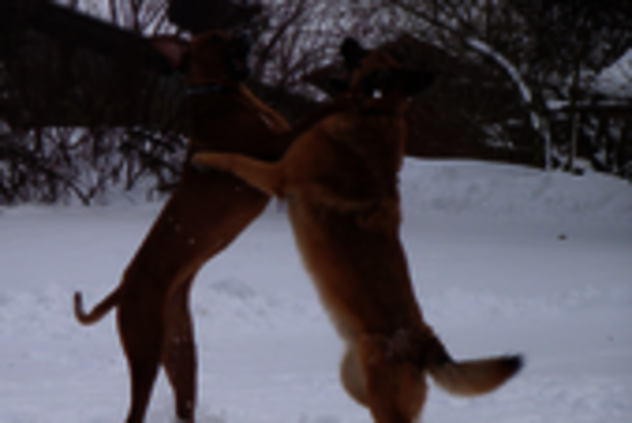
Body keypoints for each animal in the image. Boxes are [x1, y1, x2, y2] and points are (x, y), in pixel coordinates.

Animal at [194, 36, 524, 423]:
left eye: (364, 54)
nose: (347, 40)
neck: (377, 112)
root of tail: (424, 343)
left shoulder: (278, 174)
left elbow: (235, 159)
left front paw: (205, 157)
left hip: (383, 400)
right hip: (354, 383)